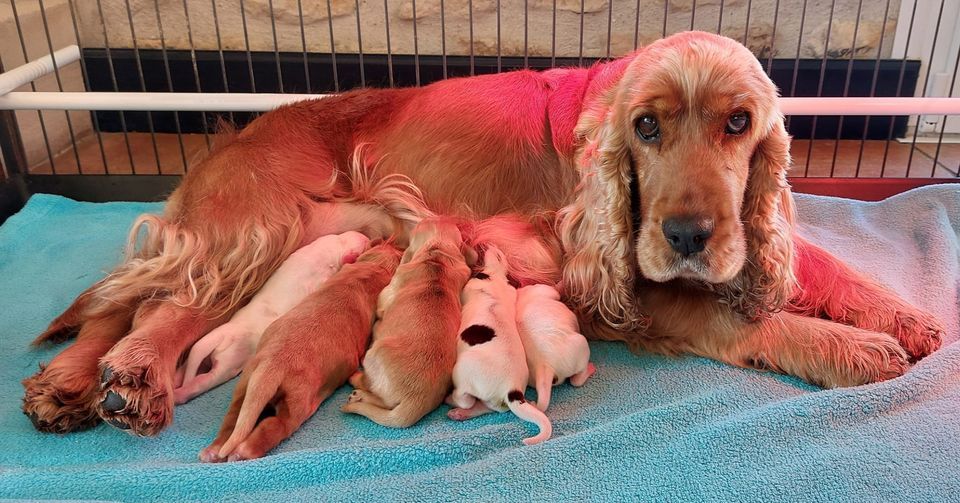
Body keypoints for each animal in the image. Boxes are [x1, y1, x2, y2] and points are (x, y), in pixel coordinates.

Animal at [172, 232, 372, 406]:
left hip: (204, 356)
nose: (365, 236)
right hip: (228, 362)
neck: (331, 248)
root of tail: (223, 334)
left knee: (186, 366)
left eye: (341, 235)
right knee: (205, 380)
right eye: (360, 248)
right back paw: (179, 394)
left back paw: (174, 382)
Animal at [200, 242, 402, 462]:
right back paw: (242, 452)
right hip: (298, 399)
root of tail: (272, 367)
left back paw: (213, 450)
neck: (369, 269)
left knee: (234, 416)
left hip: (246, 382)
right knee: (276, 424)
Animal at [342, 219, 476, 428]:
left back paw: (357, 388)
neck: (437, 256)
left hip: (375, 353)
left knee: (376, 393)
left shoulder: (388, 292)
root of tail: (416, 400)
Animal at [446, 246, 552, 446]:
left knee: (465, 398)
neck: (497, 275)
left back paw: (452, 401)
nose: (489, 246)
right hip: (493, 401)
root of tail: (513, 389)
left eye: (497, 254)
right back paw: (460, 414)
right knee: (486, 407)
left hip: (462, 372)